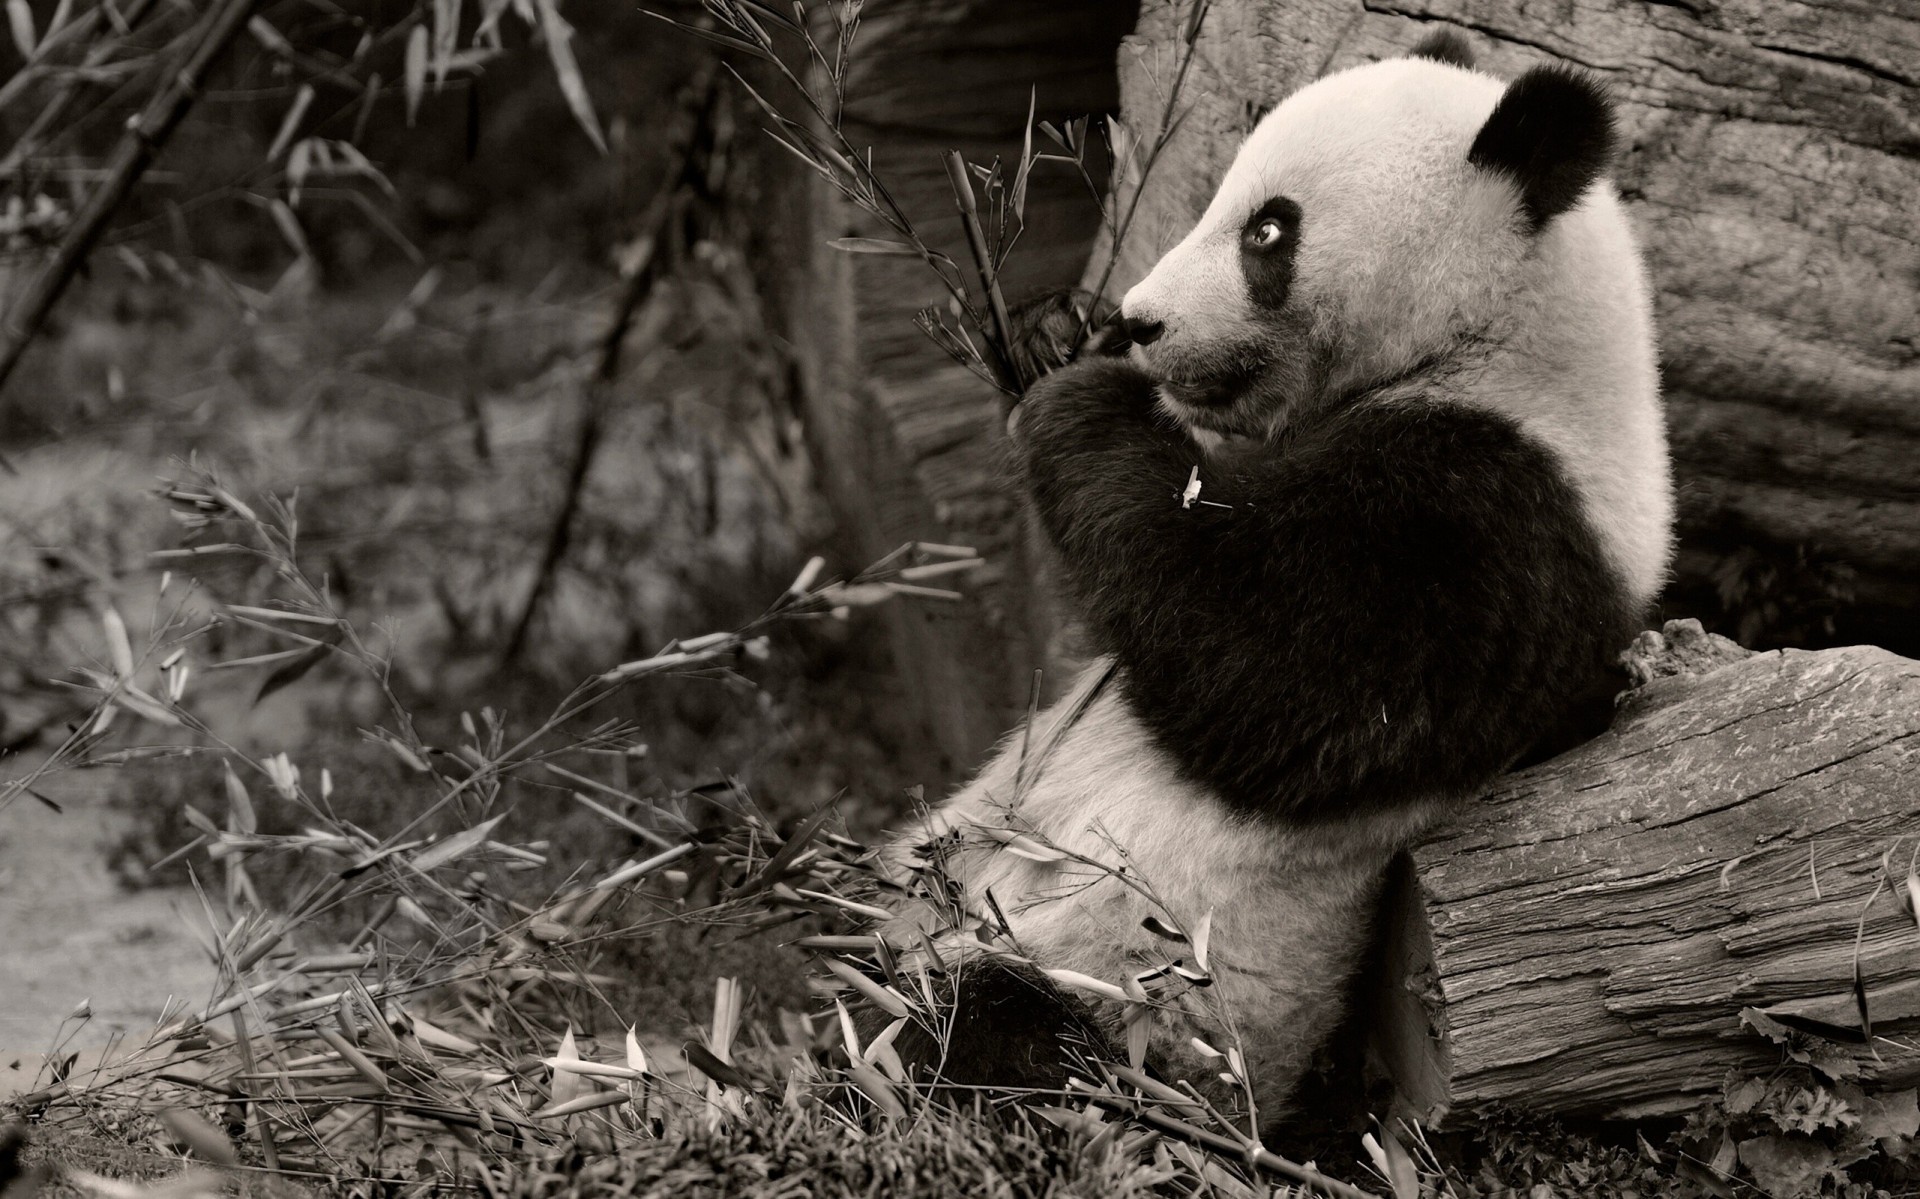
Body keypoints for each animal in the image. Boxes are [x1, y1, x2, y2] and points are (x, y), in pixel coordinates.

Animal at [866, 30, 1673, 1128]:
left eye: (1268, 231)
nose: (1140, 321)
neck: (1505, 344)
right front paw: (1045, 330)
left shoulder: (1498, 518)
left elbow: (1277, 675)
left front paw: (1078, 394)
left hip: (1150, 1011)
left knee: (1001, 1043)